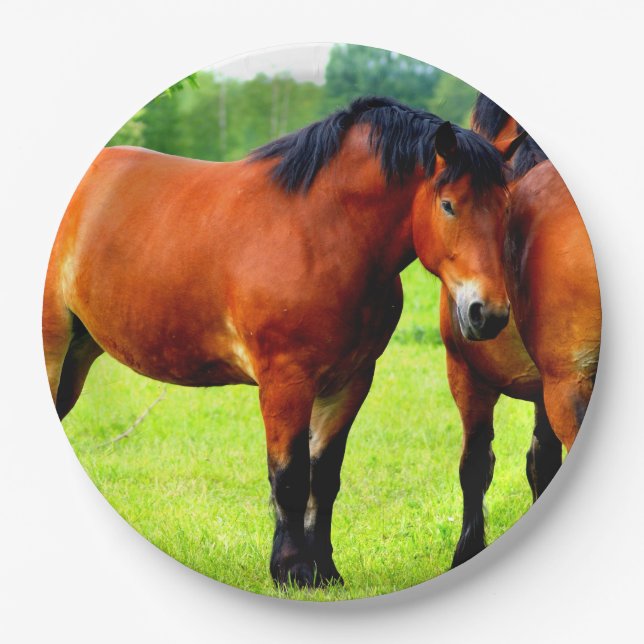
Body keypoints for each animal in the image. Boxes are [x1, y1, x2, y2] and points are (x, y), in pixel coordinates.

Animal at [43, 96, 515, 588]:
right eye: (449, 205)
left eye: (506, 208)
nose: (488, 313)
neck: (323, 232)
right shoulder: (286, 382)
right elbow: (289, 477)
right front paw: (292, 570)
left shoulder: (349, 382)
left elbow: (324, 477)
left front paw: (325, 570)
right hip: (53, 346)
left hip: (78, 353)